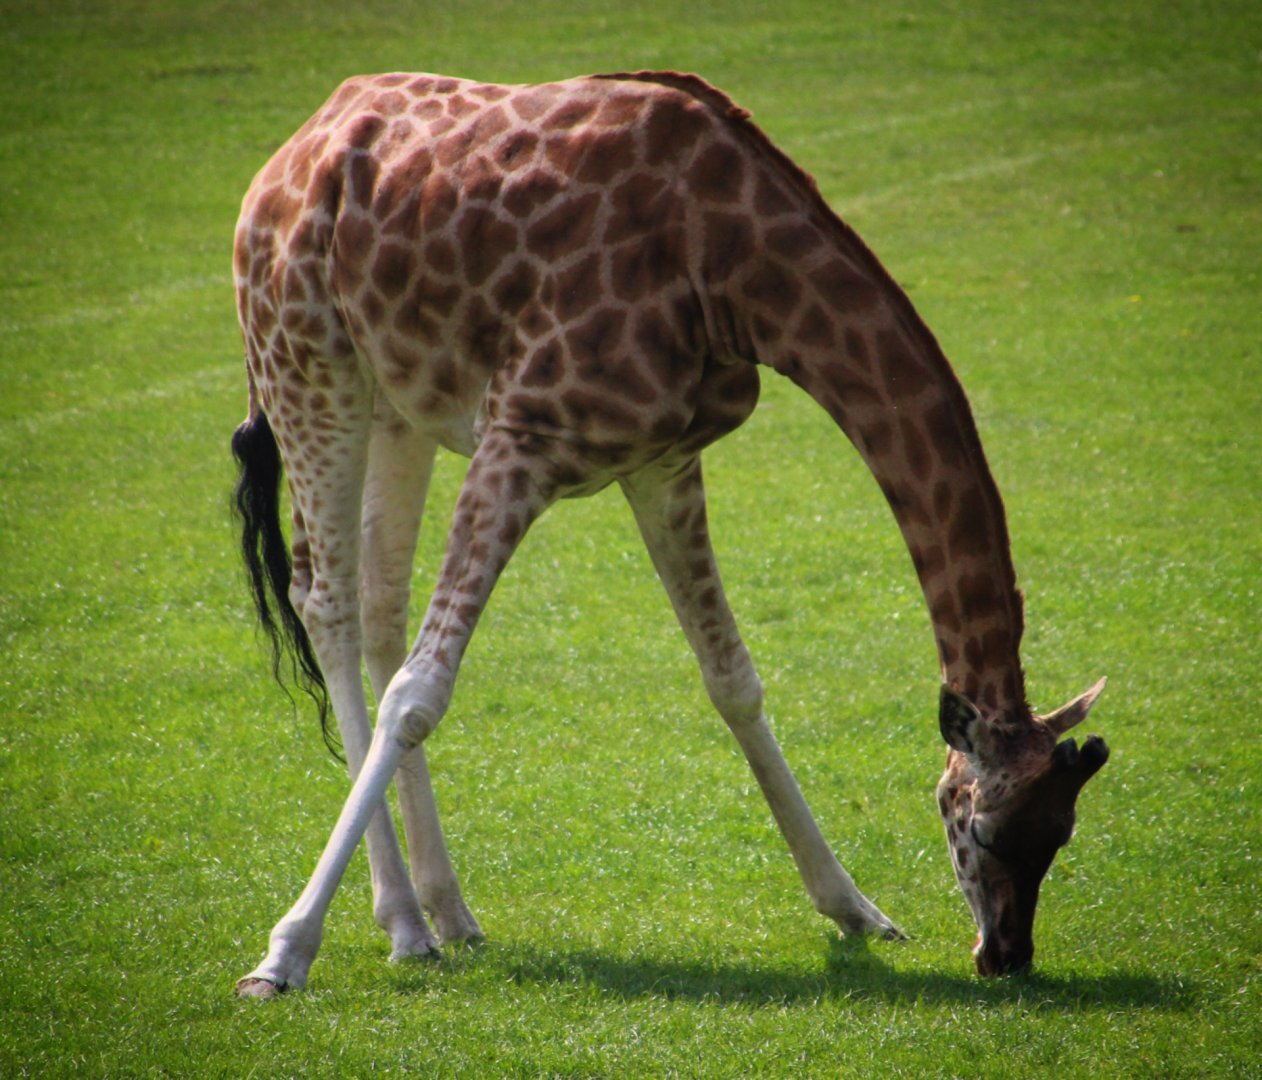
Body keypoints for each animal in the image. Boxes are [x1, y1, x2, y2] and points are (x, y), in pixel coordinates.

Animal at [230, 70, 1109, 995]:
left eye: (1063, 833)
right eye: (979, 826)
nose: (1005, 955)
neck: (729, 269)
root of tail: (297, 145)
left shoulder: (664, 460)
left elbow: (734, 679)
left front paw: (856, 909)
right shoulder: (520, 435)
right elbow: (420, 693)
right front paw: (281, 953)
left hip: (401, 399)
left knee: (379, 604)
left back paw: (444, 917)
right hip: (307, 360)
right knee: (325, 599)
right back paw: (395, 922)